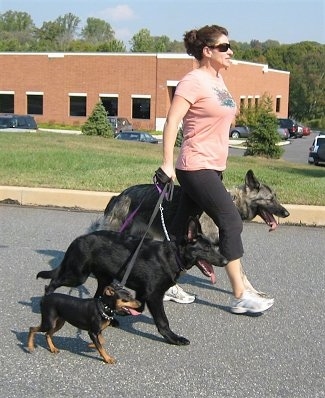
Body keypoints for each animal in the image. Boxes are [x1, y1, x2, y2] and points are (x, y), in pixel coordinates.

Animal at [36, 218, 227, 346]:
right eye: (207, 249)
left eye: (214, 247)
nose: (225, 261)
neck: (173, 256)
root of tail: (78, 239)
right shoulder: (154, 296)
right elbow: (163, 321)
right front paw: (173, 338)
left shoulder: (143, 293)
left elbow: (139, 307)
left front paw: (123, 312)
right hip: (77, 275)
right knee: (52, 282)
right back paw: (46, 299)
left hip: (104, 278)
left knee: (99, 297)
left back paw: (109, 317)